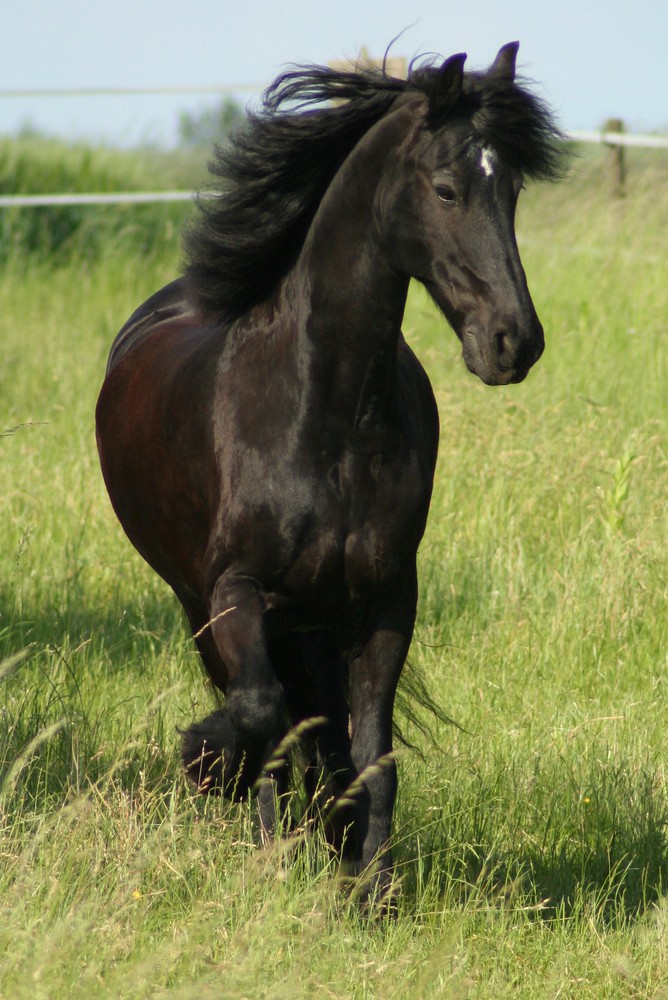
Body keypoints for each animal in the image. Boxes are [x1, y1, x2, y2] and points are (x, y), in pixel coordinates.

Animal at [96, 41, 560, 900]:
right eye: (446, 188)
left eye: (511, 189)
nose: (513, 342)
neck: (325, 418)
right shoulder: (238, 589)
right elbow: (261, 715)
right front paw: (211, 767)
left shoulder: (383, 600)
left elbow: (370, 755)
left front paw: (370, 887)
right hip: (202, 600)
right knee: (272, 715)